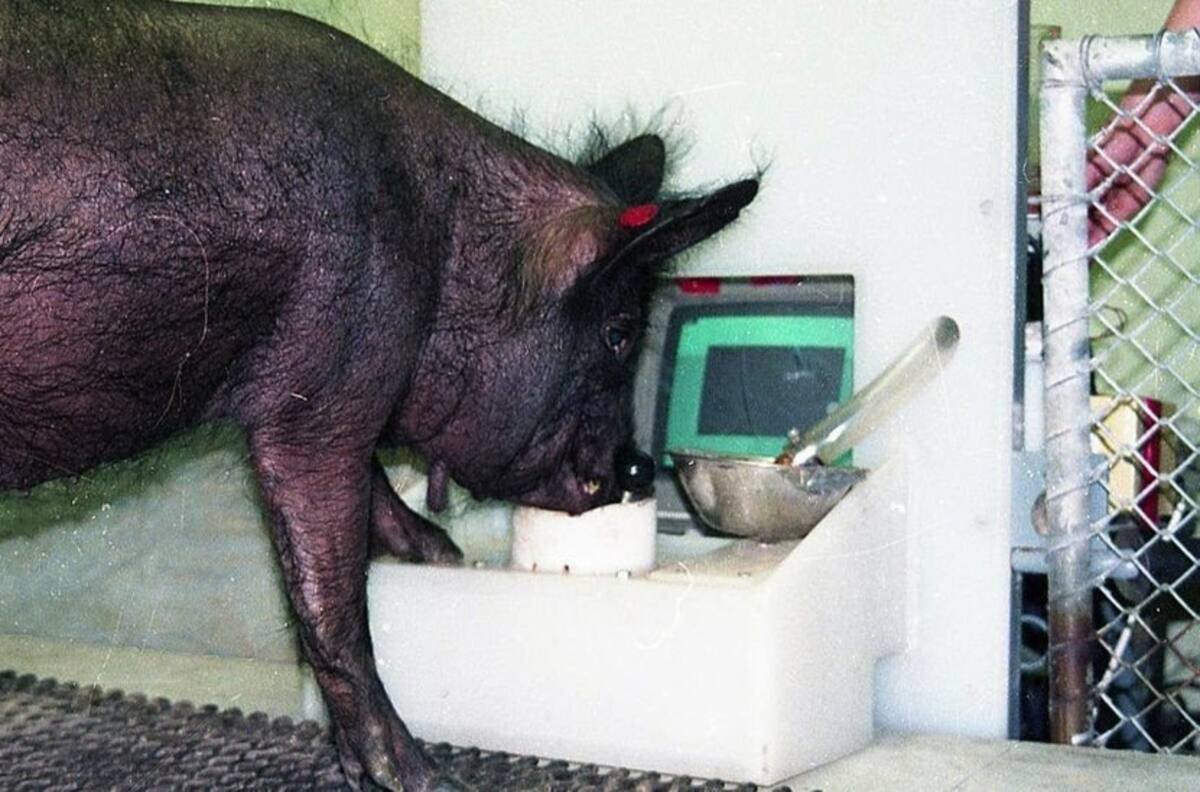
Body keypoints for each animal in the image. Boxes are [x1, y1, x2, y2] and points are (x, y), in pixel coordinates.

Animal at [0, 1, 758, 789]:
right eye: (619, 332)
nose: (638, 466)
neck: (447, 249)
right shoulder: (324, 385)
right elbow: (334, 601)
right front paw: (426, 778)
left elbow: (373, 491)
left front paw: (442, 555)